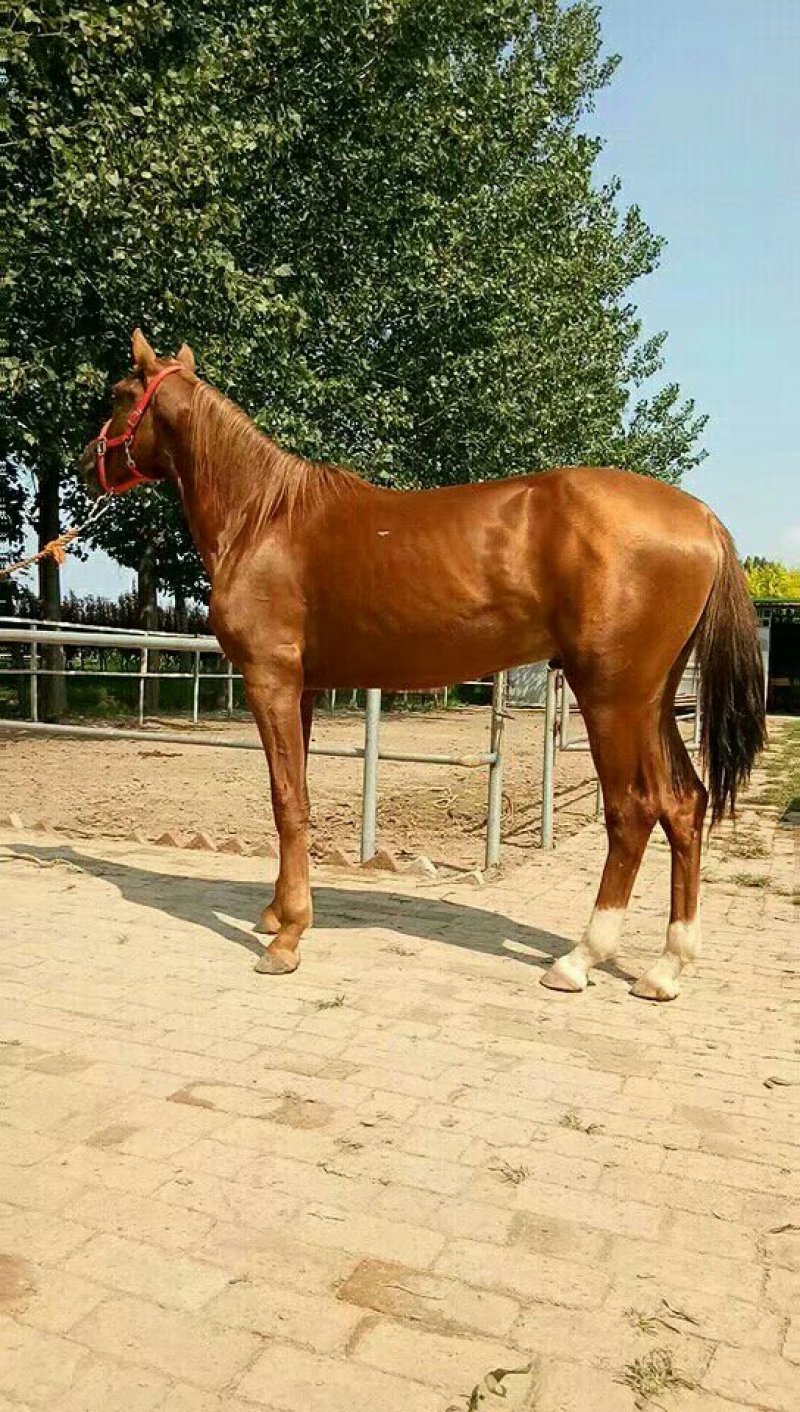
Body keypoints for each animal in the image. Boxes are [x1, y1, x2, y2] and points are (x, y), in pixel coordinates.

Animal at [80, 330, 766, 998]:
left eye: (118, 394)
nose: (89, 463)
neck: (264, 517)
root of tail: (700, 517)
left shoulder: (269, 678)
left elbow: (286, 798)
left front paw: (288, 938)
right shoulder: (302, 689)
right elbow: (294, 794)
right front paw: (276, 914)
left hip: (611, 698)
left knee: (633, 811)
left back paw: (579, 960)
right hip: (653, 698)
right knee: (685, 803)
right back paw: (666, 968)